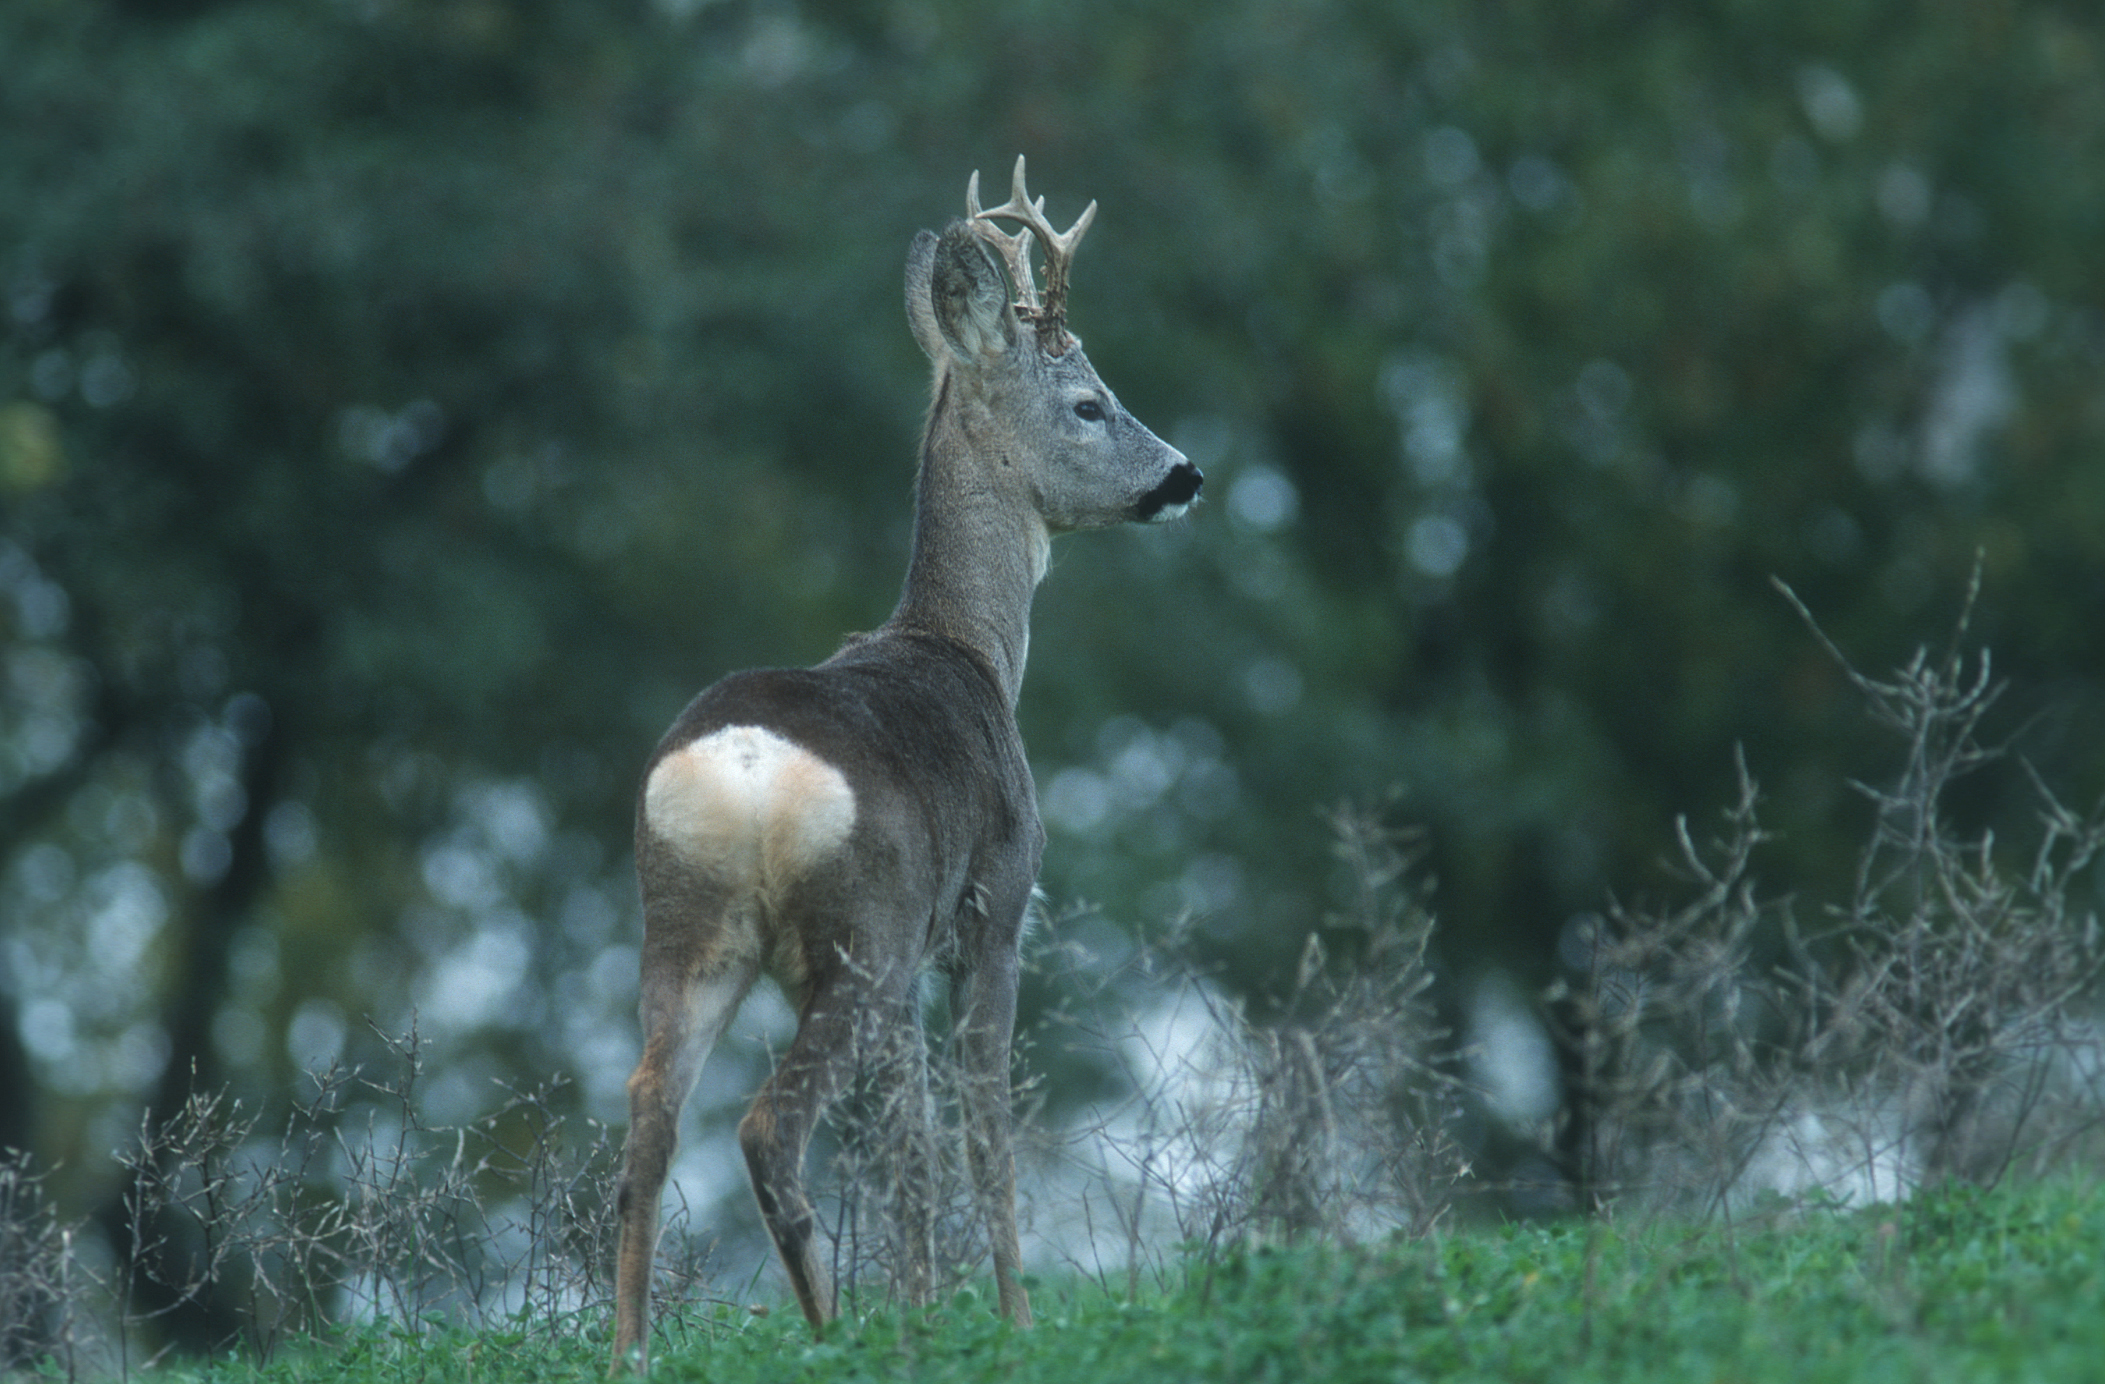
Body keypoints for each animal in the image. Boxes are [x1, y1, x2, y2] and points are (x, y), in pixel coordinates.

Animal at [610, 162, 1204, 1373]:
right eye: (1089, 402)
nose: (1185, 474)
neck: (967, 648)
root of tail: (748, 771)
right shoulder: (992, 907)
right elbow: (981, 1123)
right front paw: (1009, 1320)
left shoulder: (926, 944)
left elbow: (914, 1139)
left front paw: (927, 1308)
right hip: (858, 938)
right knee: (766, 1125)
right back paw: (834, 1329)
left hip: (688, 927)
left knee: (650, 1109)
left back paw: (629, 1352)